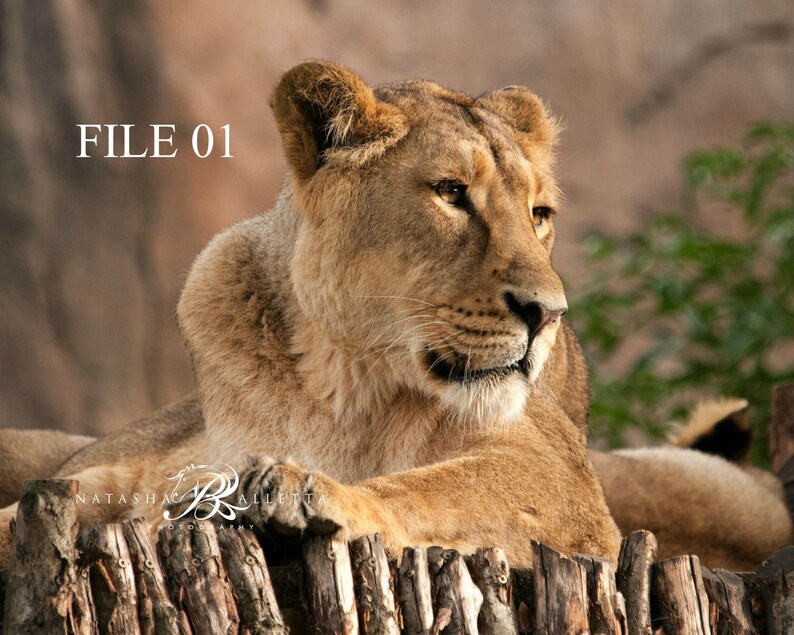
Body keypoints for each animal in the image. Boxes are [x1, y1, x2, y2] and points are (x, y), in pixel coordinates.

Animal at [1, 62, 790, 573]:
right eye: (451, 193)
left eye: (540, 214)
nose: (547, 313)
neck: (340, 382)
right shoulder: (153, 468)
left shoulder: (563, 483)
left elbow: (435, 487)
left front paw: (307, 493)